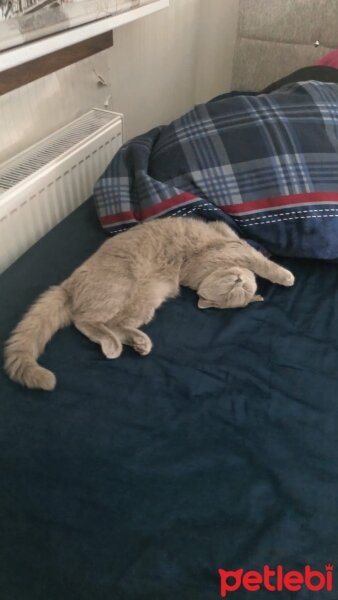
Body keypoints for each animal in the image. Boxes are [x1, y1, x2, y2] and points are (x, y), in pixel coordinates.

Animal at [4, 218, 296, 392]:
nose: (239, 280)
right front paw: (285, 276)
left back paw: (137, 343)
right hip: (119, 288)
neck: (197, 275)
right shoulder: (232, 244)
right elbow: (259, 259)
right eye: (234, 289)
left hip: (146, 301)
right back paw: (114, 346)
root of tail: (68, 284)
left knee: (113, 324)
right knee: (83, 320)